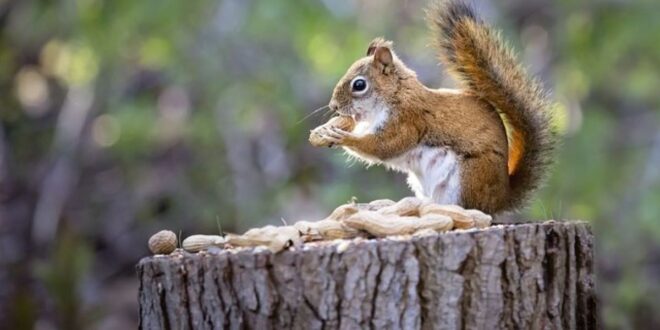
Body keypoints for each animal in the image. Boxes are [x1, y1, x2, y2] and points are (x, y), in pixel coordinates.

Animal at [310, 0, 556, 214]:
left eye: (359, 85)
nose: (333, 106)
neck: (395, 95)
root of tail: (501, 198)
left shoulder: (408, 119)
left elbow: (384, 146)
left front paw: (343, 137)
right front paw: (328, 129)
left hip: (469, 177)